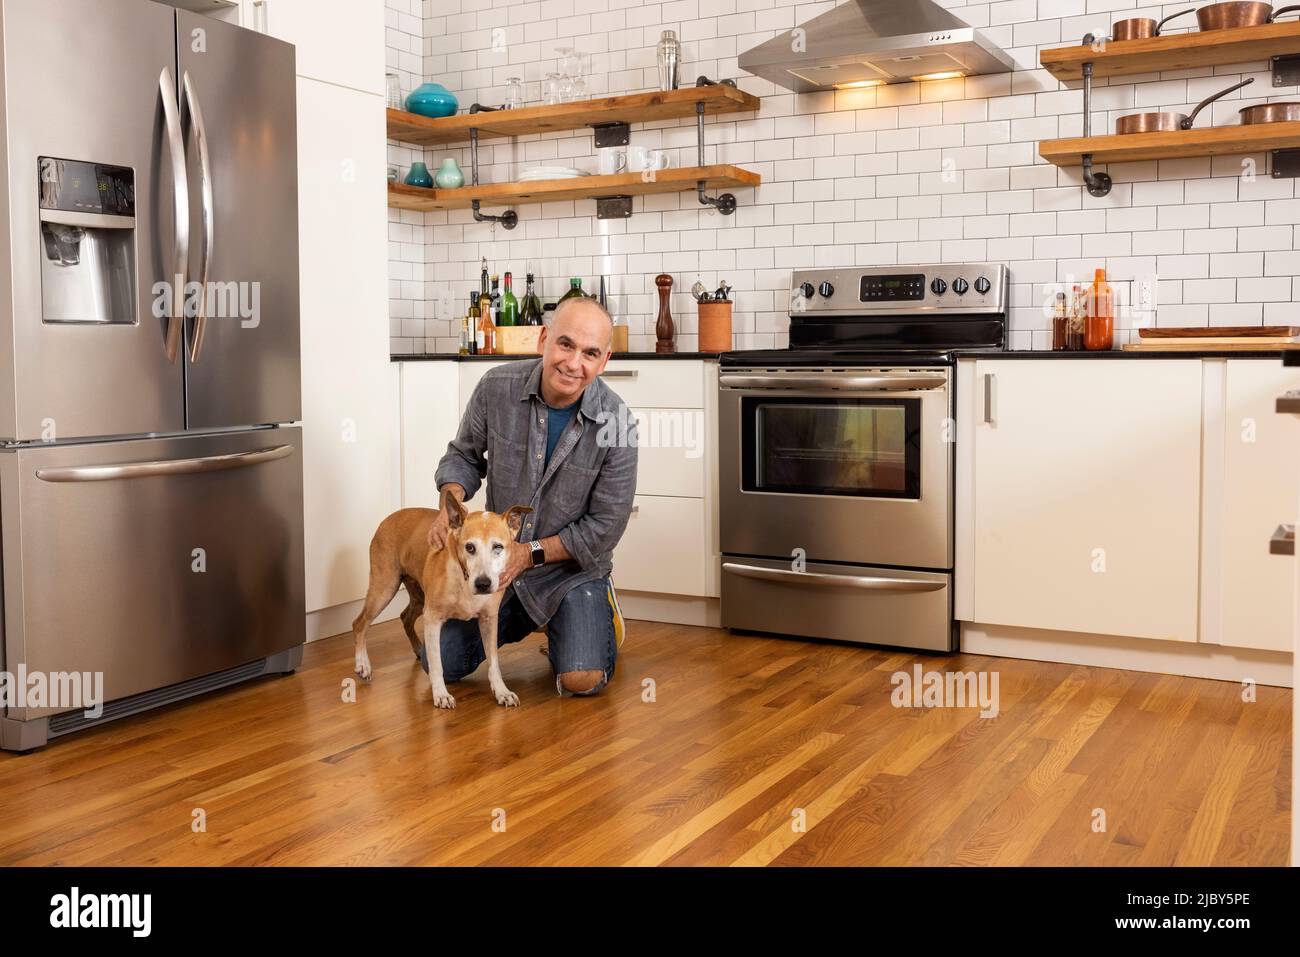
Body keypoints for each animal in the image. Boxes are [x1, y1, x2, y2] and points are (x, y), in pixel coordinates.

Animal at [351, 488, 533, 707]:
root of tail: (389, 517)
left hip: (418, 595)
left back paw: (417, 648)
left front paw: (501, 691)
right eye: (470, 547)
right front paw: (440, 694)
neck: (464, 579)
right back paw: (363, 665)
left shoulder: (489, 620)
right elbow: (437, 663)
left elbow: (493, 662)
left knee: (405, 617)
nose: (483, 583)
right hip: (385, 587)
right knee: (359, 623)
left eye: (498, 547)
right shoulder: (432, 619)